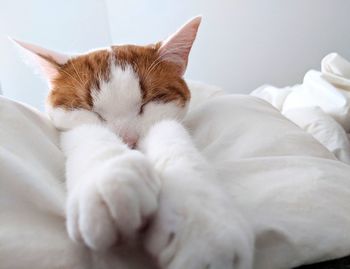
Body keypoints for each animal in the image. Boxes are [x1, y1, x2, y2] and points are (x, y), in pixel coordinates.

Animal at [14, 17, 254, 268]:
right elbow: (89, 137)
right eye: (92, 111)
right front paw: (110, 180)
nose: (128, 140)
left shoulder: (167, 120)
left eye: (148, 102)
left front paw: (204, 228)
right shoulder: (73, 129)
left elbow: (175, 144)